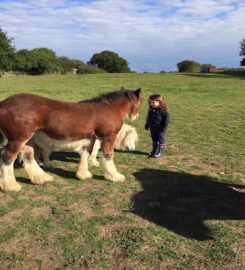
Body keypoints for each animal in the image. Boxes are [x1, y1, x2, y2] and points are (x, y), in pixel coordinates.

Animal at [0, 87, 142, 191]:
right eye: (140, 102)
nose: (136, 116)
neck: (109, 108)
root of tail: (3, 104)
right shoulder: (108, 137)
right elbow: (108, 155)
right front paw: (115, 176)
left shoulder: (90, 139)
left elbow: (86, 153)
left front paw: (83, 174)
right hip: (18, 139)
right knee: (8, 158)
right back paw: (10, 185)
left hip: (27, 140)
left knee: (29, 156)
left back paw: (41, 177)